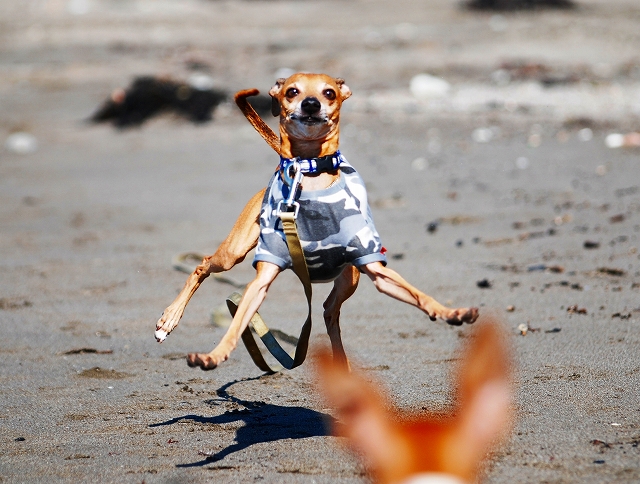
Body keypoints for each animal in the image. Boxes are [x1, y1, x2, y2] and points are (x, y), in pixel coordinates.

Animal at [155, 73, 478, 370]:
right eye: (292, 91)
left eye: (329, 92)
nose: (311, 104)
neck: (309, 174)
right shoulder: (262, 277)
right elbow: (236, 325)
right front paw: (213, 355)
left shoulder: (375, 268)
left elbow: (420, 295)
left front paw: (451, 313)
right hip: (232, 253)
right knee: (202, 265)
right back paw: (168, 320)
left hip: (350, 277)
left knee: (327, 311)